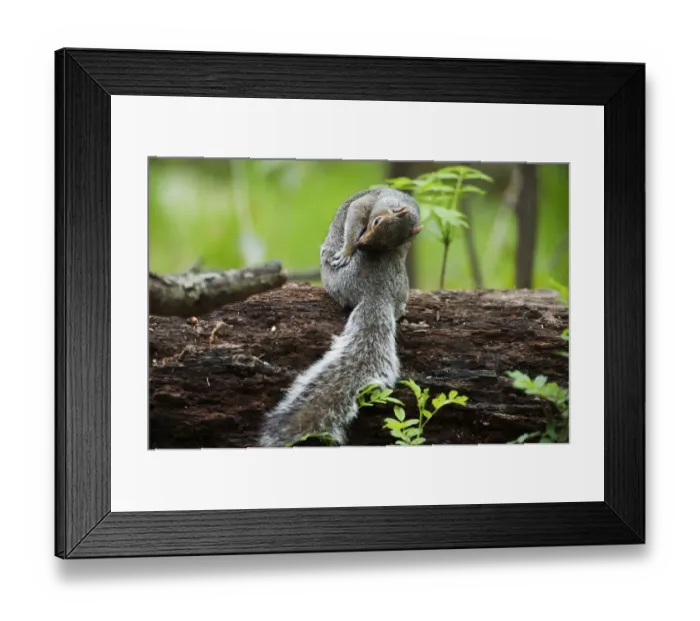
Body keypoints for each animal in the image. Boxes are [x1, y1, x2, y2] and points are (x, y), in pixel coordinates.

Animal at [257, 187, 423, 447]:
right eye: (376, 222)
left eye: (384, 236)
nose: (362, 246)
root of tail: (376, 292)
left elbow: (354, 213)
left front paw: (346, 250)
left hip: (333, 281)